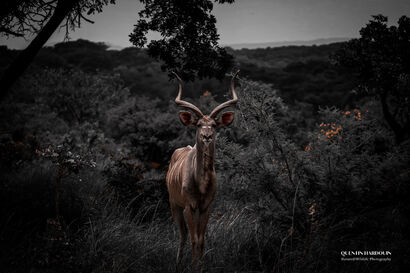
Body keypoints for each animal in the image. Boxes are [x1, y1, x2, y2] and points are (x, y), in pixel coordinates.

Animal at [165, 69, 239, 270]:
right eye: (198, 125)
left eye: (213, 125)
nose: (207, 136)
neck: (201, 185)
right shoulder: (190, 205)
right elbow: (193, 238)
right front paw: (193, 265)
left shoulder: (206, 206)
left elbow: (202, 239)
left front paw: (202, 265)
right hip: (174, 204)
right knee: (182, 234)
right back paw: (177, 263)